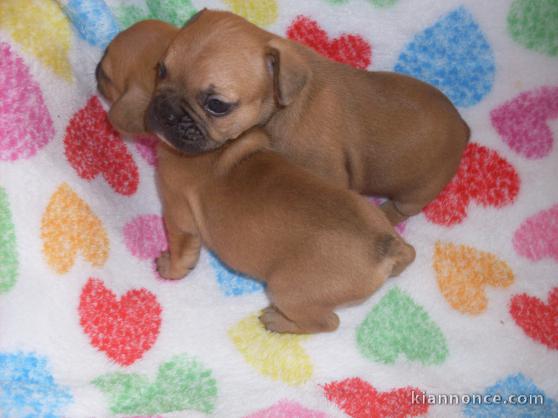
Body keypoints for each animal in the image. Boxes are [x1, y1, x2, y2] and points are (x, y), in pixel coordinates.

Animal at [96, 19, 416, 334]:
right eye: (162, 70)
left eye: (216, 105)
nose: (97, 67)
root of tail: (386, 248)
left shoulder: (177, 217)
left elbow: (181, 254)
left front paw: (169, 268)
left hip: (287, 290)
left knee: (327, 322)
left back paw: (278, 322)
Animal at [149, 9, 472, 225]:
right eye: (161, 69)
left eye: (217, 105)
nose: (166, 112)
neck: (282, 105)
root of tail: (463, 127)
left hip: (420, 190)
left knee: (403, 208)